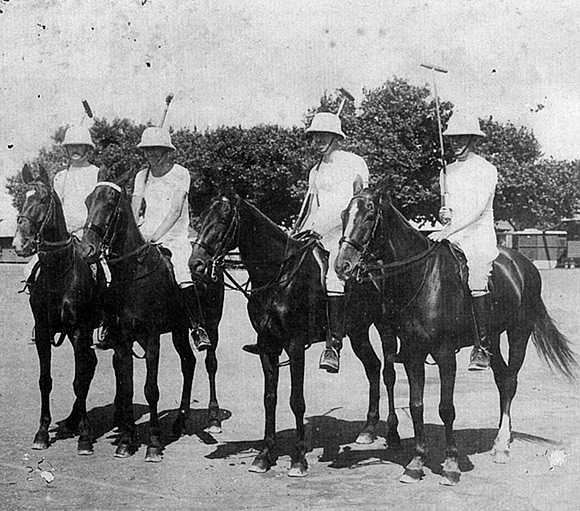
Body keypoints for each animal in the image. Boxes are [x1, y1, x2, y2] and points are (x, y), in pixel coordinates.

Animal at [12, 164, 101, 456]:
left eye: (41, 199)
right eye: (22, 198)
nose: (20, 244)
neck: (59, 273)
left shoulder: (78, 332)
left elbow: (78, 381)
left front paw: (85, 437)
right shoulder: (43, 333)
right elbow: (45, 380)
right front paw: (41, 433)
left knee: (87, 369)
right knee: (90, 365)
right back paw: (72, 420)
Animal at [80, 178, 225, 462]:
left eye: (110, 204)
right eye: (88, 201)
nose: (87, 249)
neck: (132, 274)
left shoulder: (151, 338)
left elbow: (151, 389)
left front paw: (154, 444)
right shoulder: (123, 341)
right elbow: (126, 388)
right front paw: (126, 441)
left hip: (212, 324)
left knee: (210, 363)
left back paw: (213, 417)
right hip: (179, 330)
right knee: (188, 364)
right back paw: (180, 421)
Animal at [188, 194, 402, 478]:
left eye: (223, 220)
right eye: (201, 217)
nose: (195, 264)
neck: (278, 277)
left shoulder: (295, 345)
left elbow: (296, 401)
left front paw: (299, 459)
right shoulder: (268, 346)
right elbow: (270, 399)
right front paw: (264, 455)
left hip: (384, 327)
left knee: (388, 373)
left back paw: (393, 434)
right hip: (357, 331)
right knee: (373, 367)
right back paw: (367, 430)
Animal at [334, 186, 576, 486]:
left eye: (369, 217)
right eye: (344, 215)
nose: (342, 266)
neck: (423, 278)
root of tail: (523, 264)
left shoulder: (445, 353)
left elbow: (446, 408)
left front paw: (451, 465)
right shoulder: (414, 354)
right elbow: (416, 405)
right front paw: (416, 463)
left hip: (519, 333)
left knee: (510, 381)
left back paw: (502, 446)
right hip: (492, 338)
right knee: (500, 378)